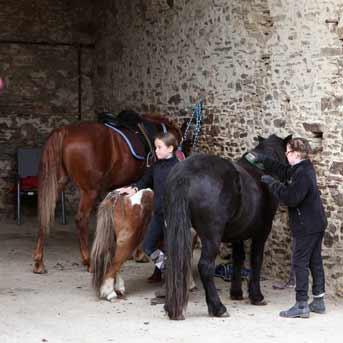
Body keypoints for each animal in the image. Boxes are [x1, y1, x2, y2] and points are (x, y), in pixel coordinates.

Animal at [33, 113, 183, 274]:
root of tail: (65, 131)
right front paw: (138, 254)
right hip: (89, 191)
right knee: (81, 220)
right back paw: (88, 261)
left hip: (59, 183)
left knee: (44, 215)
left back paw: (39, 262)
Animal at [165, 134, 292, 320]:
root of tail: (186, 173)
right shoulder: (262, 232)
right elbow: (256, 260)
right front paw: (256, 296)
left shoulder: (238, 233)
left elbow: (238, 258)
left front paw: (236, 292)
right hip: (212, 236)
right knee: (205, 266)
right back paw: (218, 307)